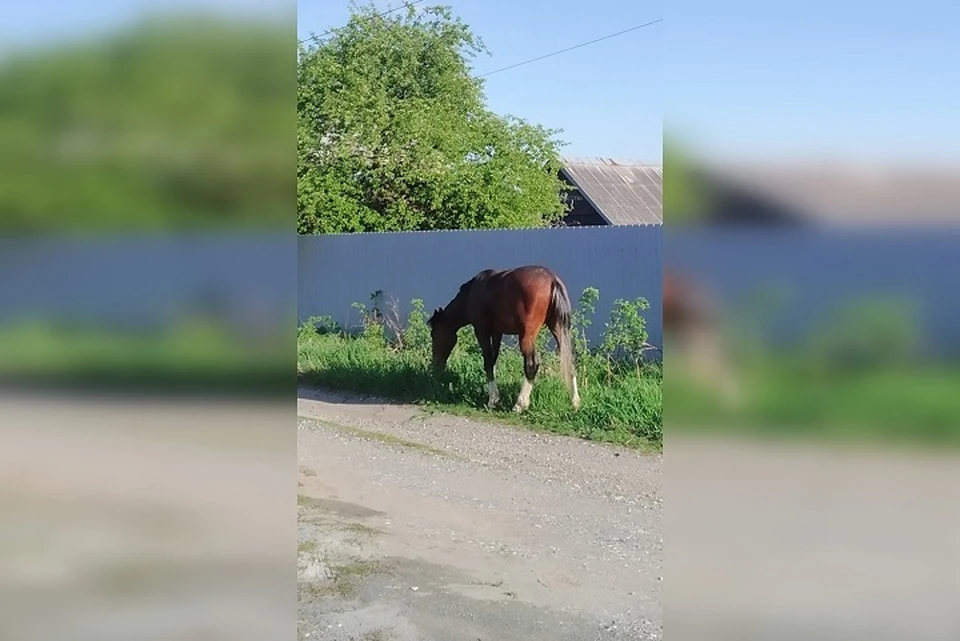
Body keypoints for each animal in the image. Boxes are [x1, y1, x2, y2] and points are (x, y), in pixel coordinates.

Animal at [426, 264, 576, 410]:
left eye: (434, 334)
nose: (436, 365)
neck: (471, 293)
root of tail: (552, 280)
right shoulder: (497, 333)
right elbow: (493, 360)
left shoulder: (481, 332)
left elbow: (487, 361)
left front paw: (493, 400)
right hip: (558, 329)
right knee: (570, 360)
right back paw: (575, 402)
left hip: (526, 337)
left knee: (531, 364)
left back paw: (520, 404)